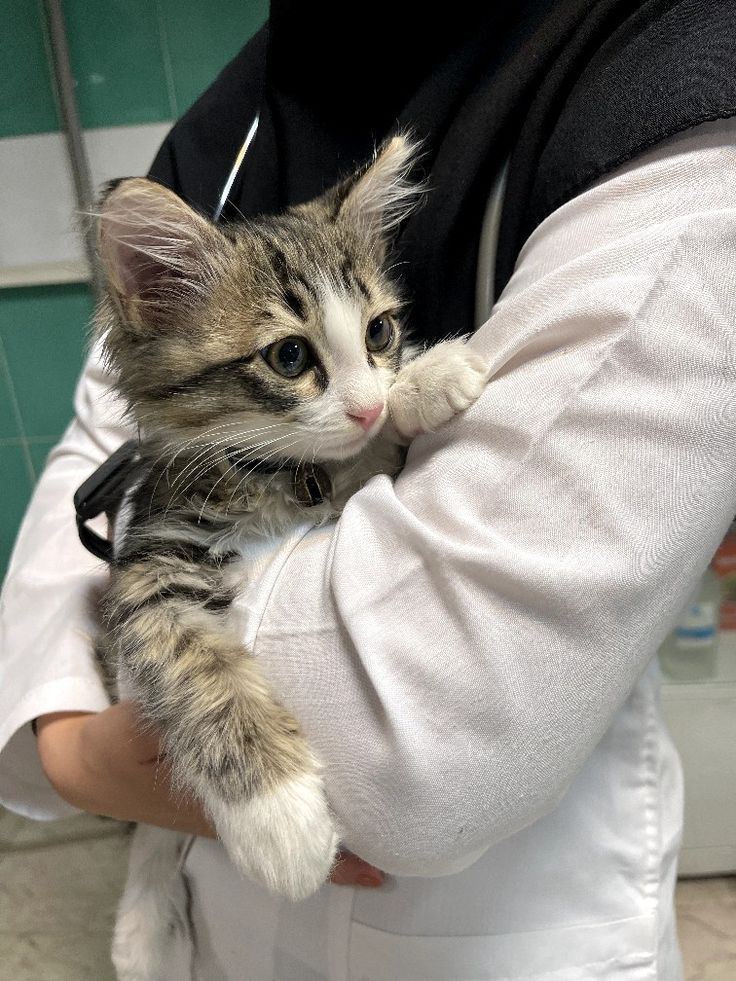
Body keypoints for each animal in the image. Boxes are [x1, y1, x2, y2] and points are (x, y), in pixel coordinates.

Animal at [96, 134, 488, 976]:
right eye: (287, 356)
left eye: (378, 333)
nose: (367, 404)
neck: (285, 479)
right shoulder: (147, 571)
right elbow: (195, 664)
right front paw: (280, 821)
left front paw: (427, 379)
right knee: (151, 837)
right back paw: (144, 925)